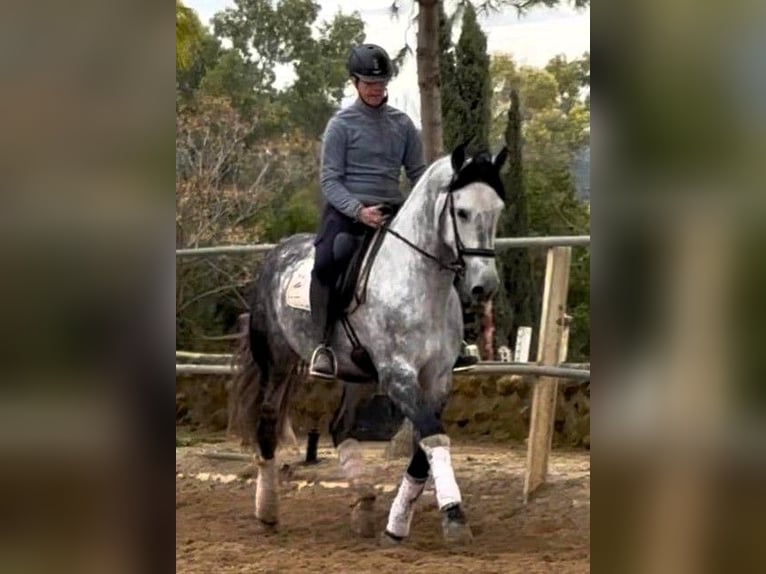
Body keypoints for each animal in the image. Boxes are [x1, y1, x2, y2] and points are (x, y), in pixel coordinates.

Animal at [233, 143, 507, 545]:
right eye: (462, 211)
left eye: (498, 209)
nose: (484, 286)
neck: (419, 281)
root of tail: (277, 253)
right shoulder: (397, 374)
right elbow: (434, 436)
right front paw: (454, 517)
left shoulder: (437, 379)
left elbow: (426, 443)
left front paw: (397, 525)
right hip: (277, 363)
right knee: (268, 421)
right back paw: (267, 513)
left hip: (357, 375)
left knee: (340, 427)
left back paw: (363, 503)